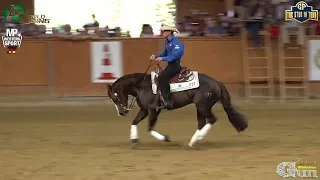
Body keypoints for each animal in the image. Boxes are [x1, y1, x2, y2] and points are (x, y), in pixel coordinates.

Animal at [106, 64, 249, 148]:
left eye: (115, 97)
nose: (121, 112)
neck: (143, 86)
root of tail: (216, 82)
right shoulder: (144, 110)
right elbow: (134, 122)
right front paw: (134, 140)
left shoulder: (153, 111)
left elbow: (150, 128)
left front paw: (166, 138)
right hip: (200, 107)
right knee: (202, 122)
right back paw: (194, 141)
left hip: (203, 106)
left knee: (212, 120)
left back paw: (197, 139)